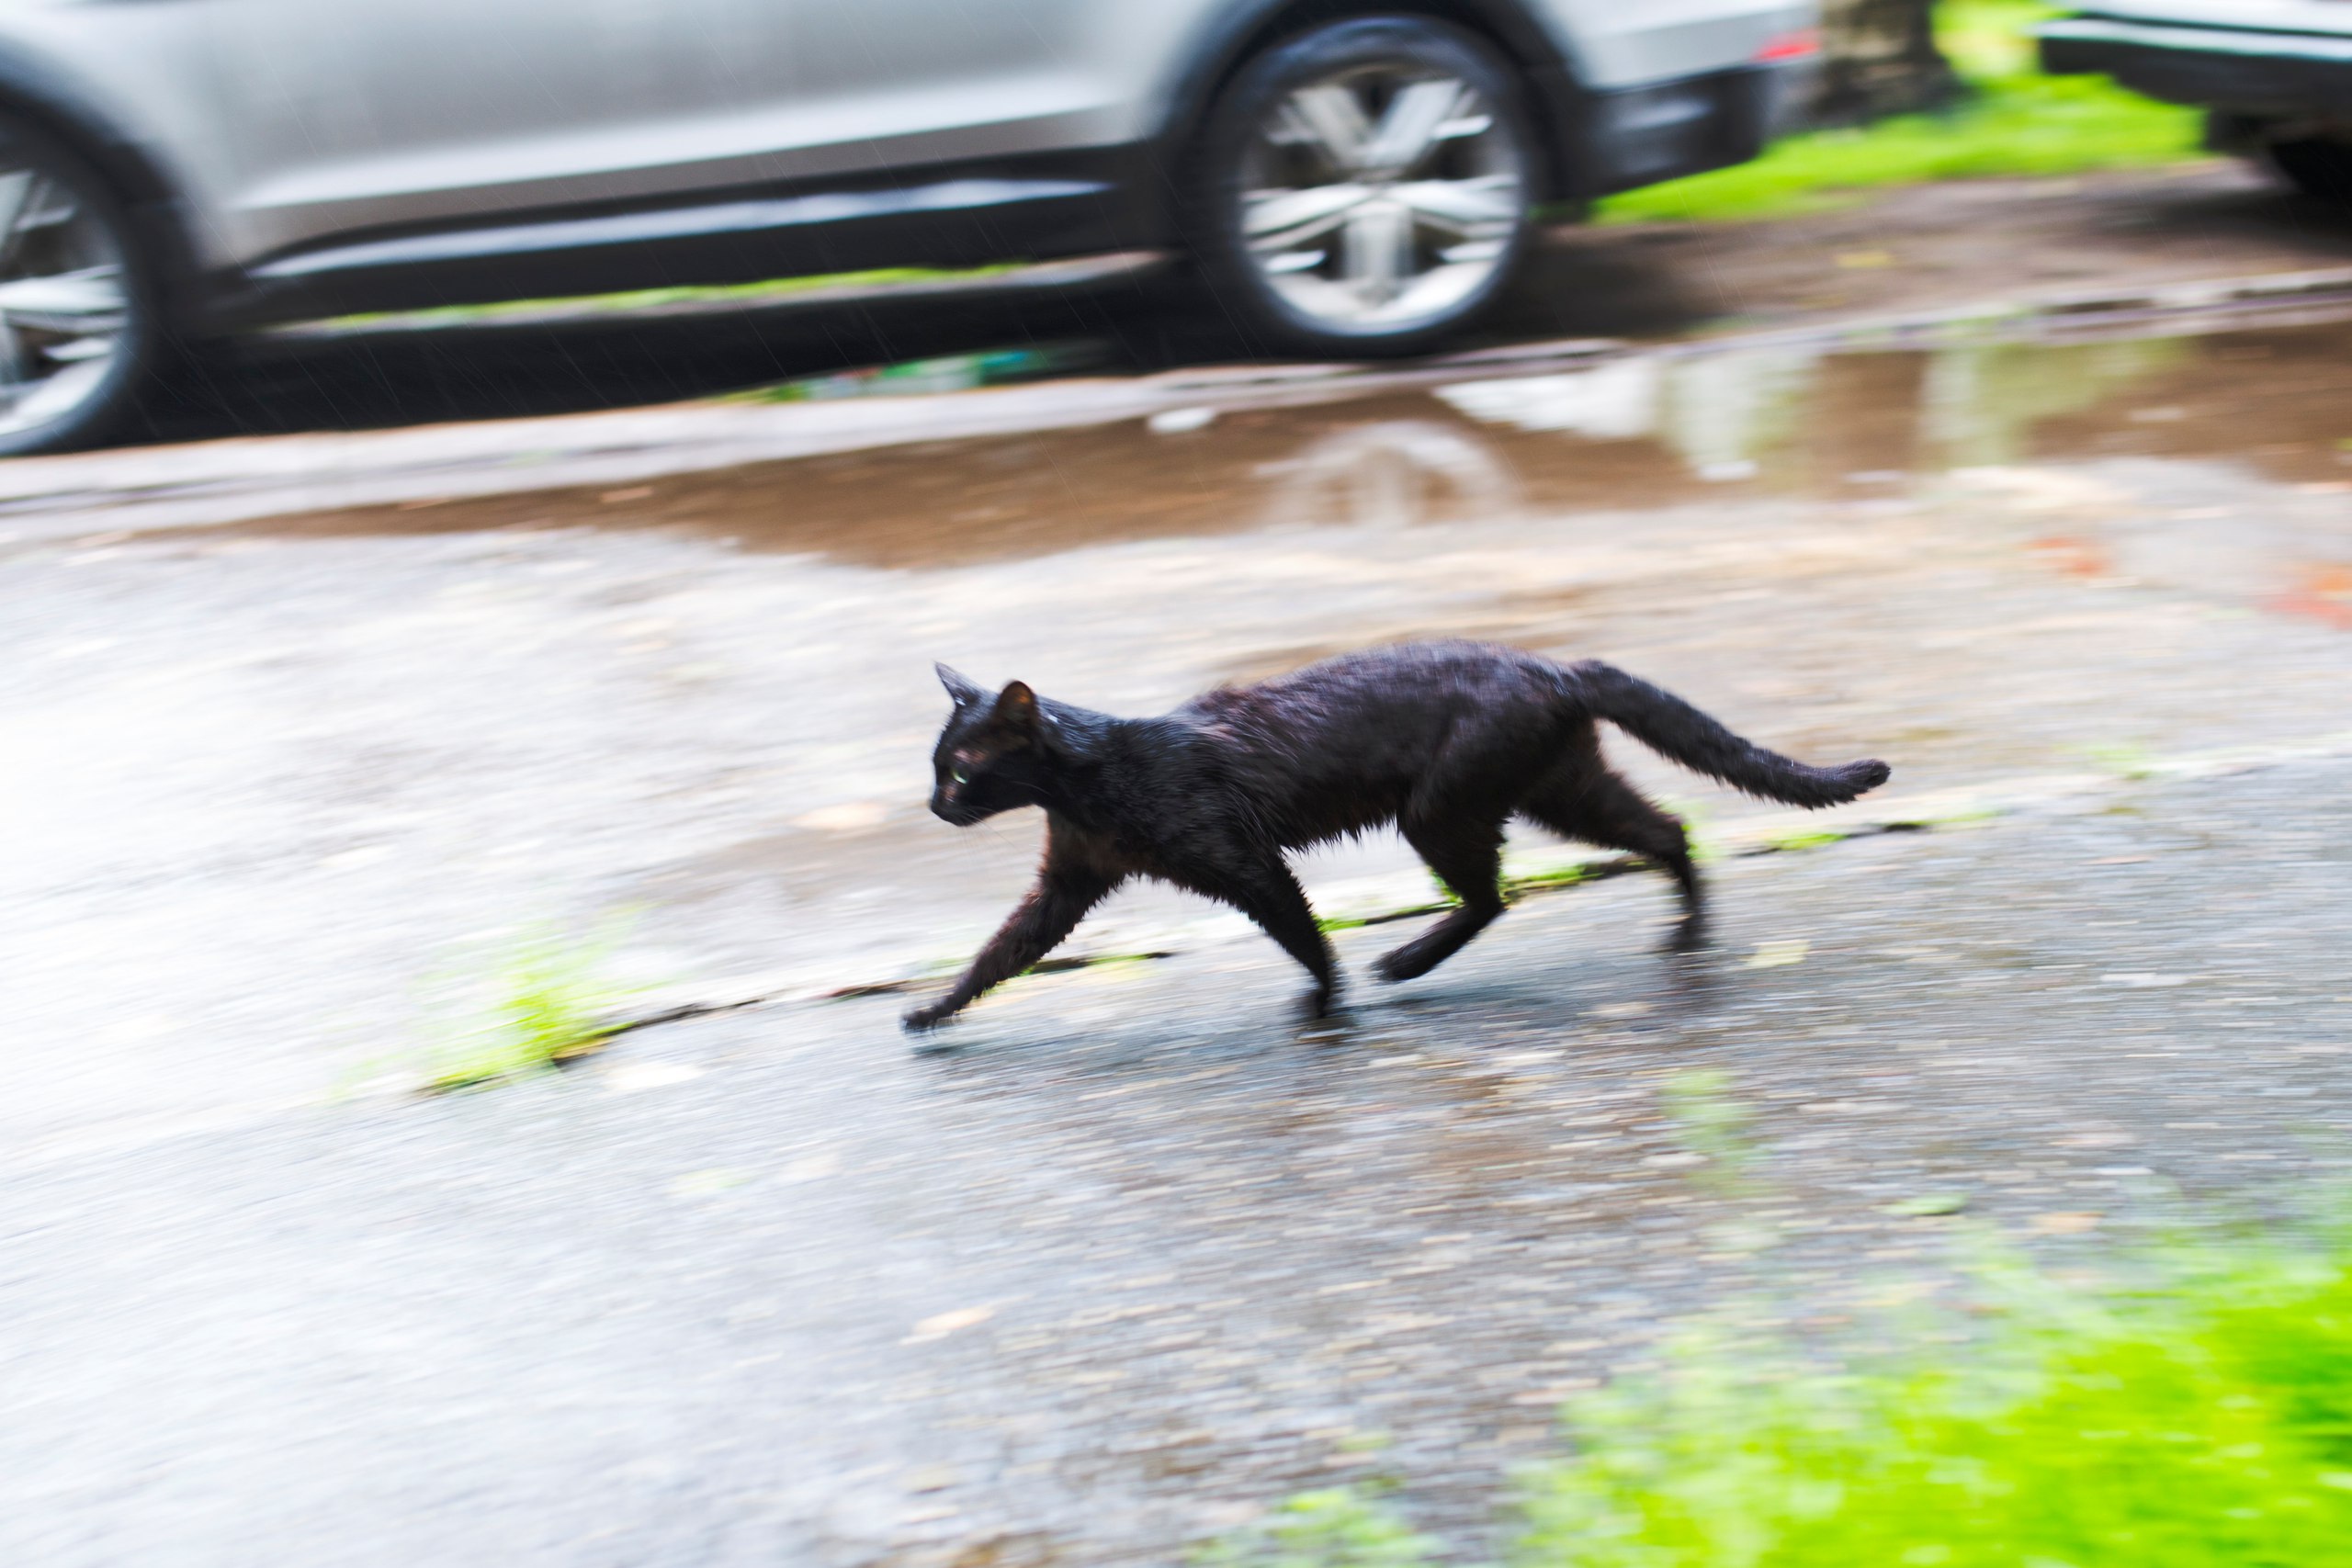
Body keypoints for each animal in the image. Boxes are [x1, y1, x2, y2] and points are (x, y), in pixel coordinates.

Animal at [898, 639, 1891, 1029]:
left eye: (961, 771)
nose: (935, 808)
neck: (1091, 783)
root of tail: (1551, 665)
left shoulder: (1246, 862)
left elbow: (1301, 933)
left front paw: (1328, 1003)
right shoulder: (1066, 883)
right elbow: (998, 954)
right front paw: (931, 1013)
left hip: (1444, 808)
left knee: (1494, 893)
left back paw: (1404, 964)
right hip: (1560, 789)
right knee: (1667, 832)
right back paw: (1685, 933)